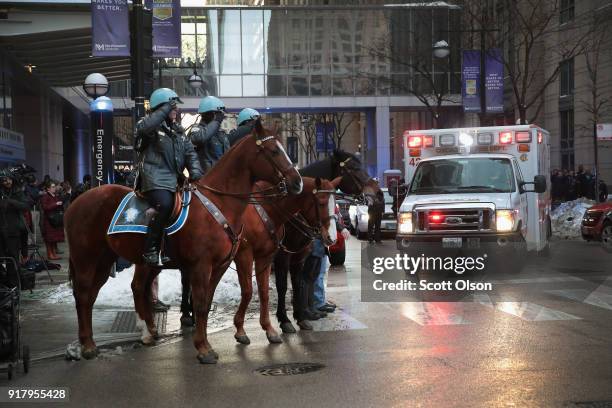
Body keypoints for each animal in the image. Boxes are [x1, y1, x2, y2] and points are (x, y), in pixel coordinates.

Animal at [64, 121, 302, 364]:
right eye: (273, 151)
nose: (297, 182)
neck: (219, 203)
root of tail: (78, 201)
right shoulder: (202, 265)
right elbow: (200, 304)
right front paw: (203, 349)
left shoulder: (220, 265)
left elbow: (206, 302)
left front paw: (206, 344)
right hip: (86, 259)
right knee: (84, 294)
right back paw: (89, 345)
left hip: (105, 261)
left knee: (95, 295)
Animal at [274, 151, 380, 334]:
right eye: (354, 168)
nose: (378, 192)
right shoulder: (284, 254)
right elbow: (284, 285)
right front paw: (286, 319)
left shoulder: (301, 253)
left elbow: (303, 280)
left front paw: (304, 314)